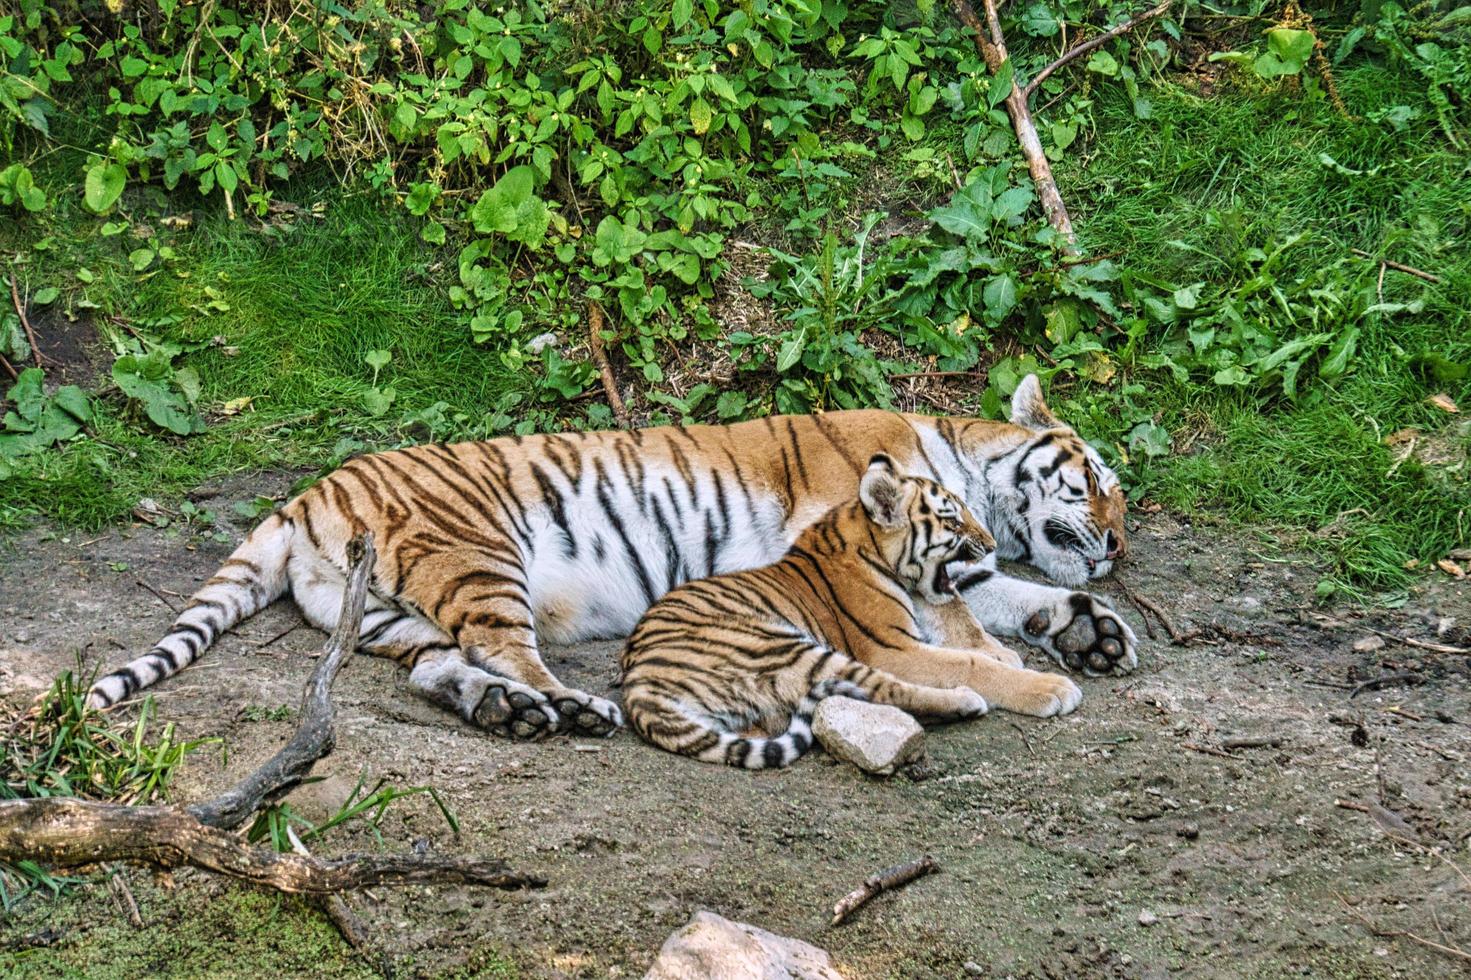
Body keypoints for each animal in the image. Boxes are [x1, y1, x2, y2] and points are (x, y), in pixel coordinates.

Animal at [86, 370, 1129, 735]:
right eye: (1094, 478)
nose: (1118, 543)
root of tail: (308, 493)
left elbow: (1009, 597)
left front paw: (1093, 631)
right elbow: (970, 628)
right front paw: (1054, 667)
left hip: (386, 614)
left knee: (438, 670)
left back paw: (511, 713)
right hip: (479, 556)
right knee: (506, 650)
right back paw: (573, 706)